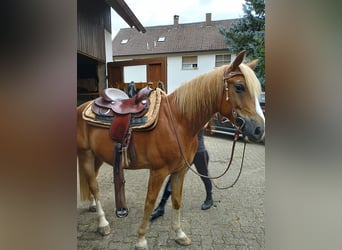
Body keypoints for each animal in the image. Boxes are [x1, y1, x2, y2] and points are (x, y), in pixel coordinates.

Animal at [77, 50, 264, 248]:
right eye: (239, 87)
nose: (259, 130)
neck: (179, 120)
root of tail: (82, 107)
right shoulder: (158, 171)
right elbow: (150, 202)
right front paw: (141, 239)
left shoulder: (180, 171)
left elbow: (176, 200)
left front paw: (179, 234)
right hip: (86, 154)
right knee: (94, 186)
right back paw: (103, 223)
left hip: (97, 156)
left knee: (91, 181)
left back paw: (92, 206)